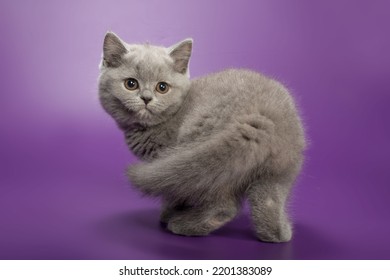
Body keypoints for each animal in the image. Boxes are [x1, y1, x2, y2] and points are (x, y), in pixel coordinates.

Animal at [97, 32, 304, 243]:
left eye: (162, 87)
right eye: (131, 84)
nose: (146, 98)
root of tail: (263, 117)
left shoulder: (166, 159)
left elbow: (174, 191)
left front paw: (169, 213)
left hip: (206, 155)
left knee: (224, 204)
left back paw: (185, 225)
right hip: (280, 168)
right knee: (269, 200)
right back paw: (278, 233)